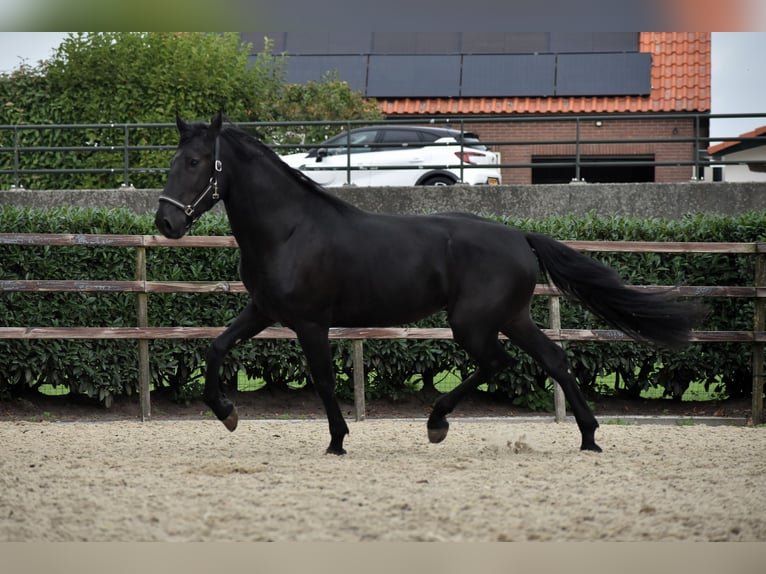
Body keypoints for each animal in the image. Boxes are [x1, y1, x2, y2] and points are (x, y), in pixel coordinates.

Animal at [158, 112, 708, 454]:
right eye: (172, 161)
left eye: (195, 162)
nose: (166, 222)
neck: (291, 229)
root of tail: (520, 236)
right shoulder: (264, 311)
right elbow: (215, 347)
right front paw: (226, 412)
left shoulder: (311, 324)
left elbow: (323, 381)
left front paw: (337, 441)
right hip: (512, 317)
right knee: (554, 359)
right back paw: (589, 437)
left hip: (472, 323)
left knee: (498, 363)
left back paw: (437, 423)